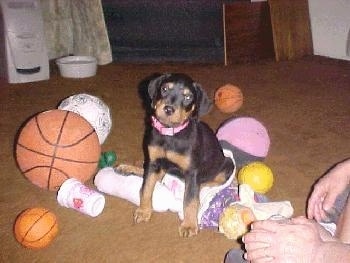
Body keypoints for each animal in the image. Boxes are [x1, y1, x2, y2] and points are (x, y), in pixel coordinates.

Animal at [135, 73, 234, 238]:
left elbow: (190, 201)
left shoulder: (192, 172)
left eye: (188, 97)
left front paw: (189, 225)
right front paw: (144, 211)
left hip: (227, 164)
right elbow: (147, 187)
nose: (168, 109)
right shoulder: (153, 162)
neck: (170, 135)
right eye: (164, 89)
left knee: (208, 183)